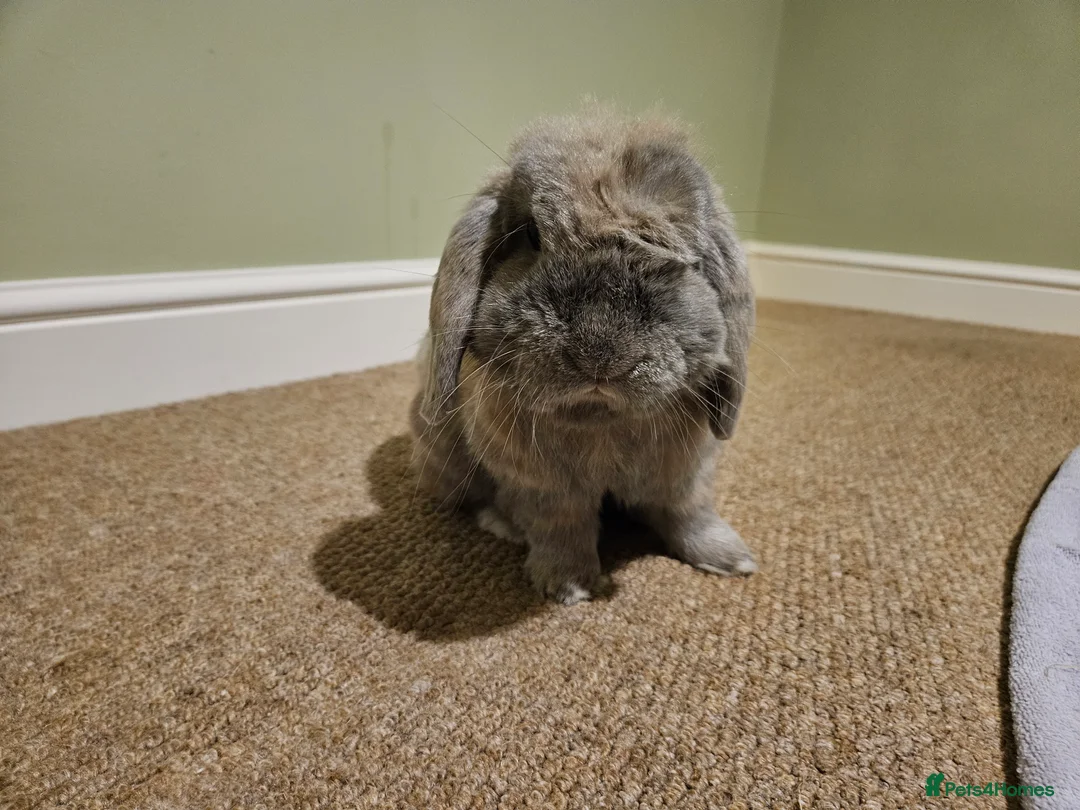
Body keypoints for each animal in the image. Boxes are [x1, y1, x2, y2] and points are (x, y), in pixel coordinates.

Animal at [410, 109, 756, 604]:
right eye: (532, 234)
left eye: (686, 259)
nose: (600, 355)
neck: (601, 419)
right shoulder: (542, 484)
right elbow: (561, 528)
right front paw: (568, 585)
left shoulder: (685, 473)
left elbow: (688, 512)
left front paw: (731, 559)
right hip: (447, 457)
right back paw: (504, 525)